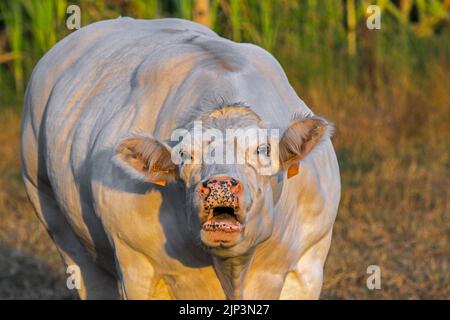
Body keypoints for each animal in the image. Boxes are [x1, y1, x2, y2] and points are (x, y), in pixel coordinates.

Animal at [19, 18, 340, 300]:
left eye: (263, 149)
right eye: (185, 154)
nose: (220, 186)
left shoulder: (308, 263)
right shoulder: (136, 268)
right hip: (51, 212)